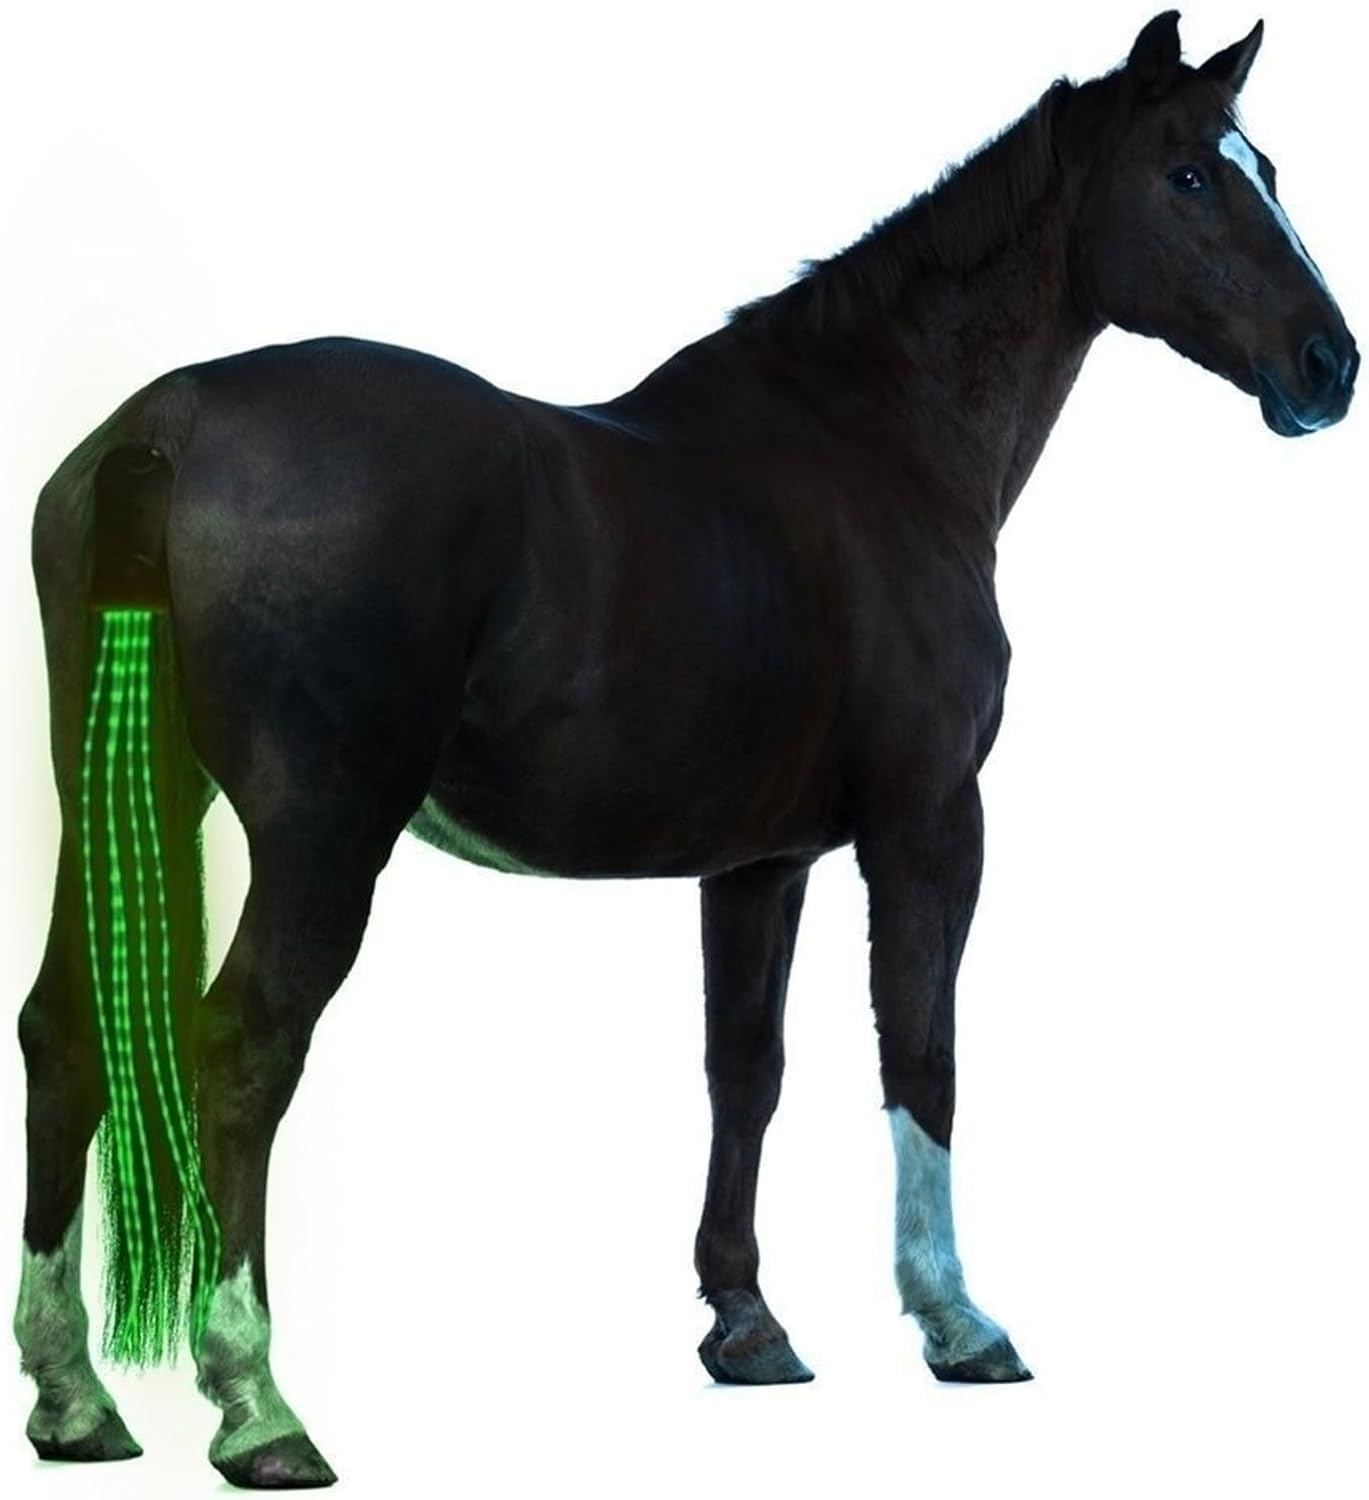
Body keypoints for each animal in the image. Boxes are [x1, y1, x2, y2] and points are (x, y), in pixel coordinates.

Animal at [12, 10, 1356, 1489]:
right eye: (1189, 175)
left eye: (1267, 167)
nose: (1327, 366)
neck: (874, 444)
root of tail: (170, 419)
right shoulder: (931, 823)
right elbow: (922, 1052)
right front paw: (957, 1321)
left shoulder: (758, 863)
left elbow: (744, 1070)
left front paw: (746, 1325)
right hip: (322, 831)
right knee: (244, 1046)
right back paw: (257, 1405)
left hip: (119, 792)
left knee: (61, 1033)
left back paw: (74, 1399)